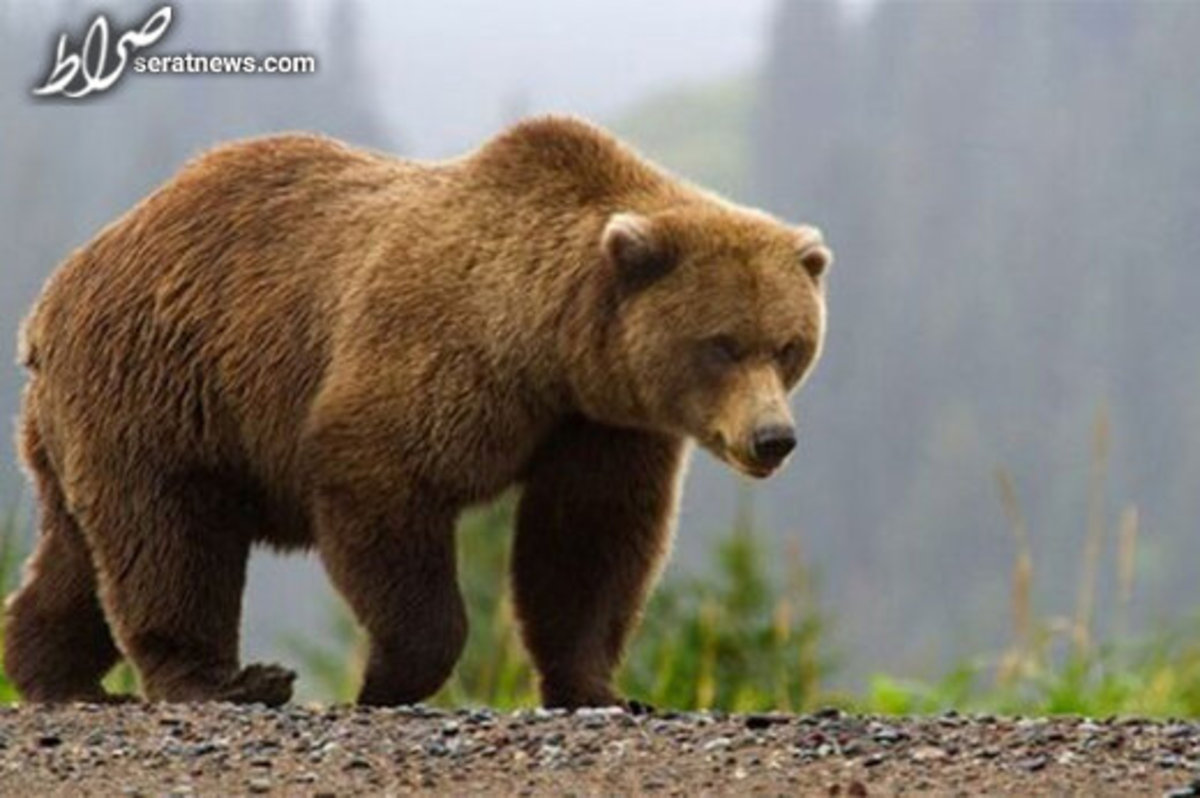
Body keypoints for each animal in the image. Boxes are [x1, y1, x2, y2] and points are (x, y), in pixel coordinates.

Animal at [2, 117, 825, 705]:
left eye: (789, 345)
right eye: (721, 344)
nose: (773, 438)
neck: (549, 348)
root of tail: (54, 295)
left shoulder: (600, 424)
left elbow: (588, 542)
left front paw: (598, 688)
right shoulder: (441, 357)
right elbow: (383, 482)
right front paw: (386, 679)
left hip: (90, 420)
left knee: (82, 549)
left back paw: (54, 673)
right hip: (164, 385)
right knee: (170, 535)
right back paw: (223, 681)